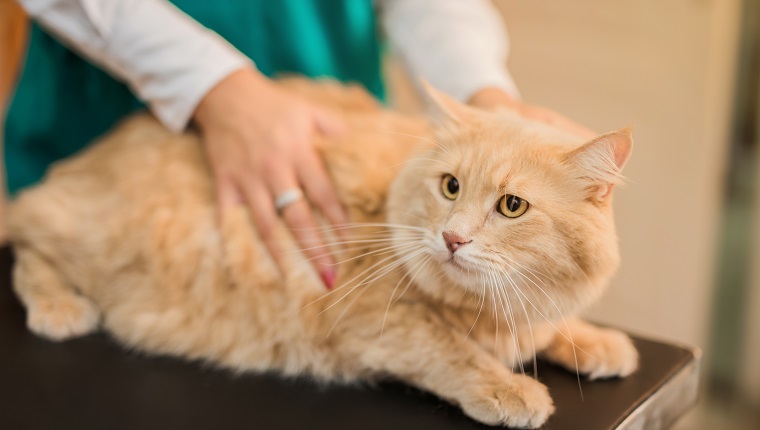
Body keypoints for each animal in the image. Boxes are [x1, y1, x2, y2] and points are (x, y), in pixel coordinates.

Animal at [5, 79, 636, 428]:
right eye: (451, 187)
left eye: (511, 206)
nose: (452, 239)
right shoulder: (372, 318)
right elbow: (451, 352)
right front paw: (511, 388)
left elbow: (552, 328)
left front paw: (596, 341)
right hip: (90, 236)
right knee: (28, 245)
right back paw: (60, 307)